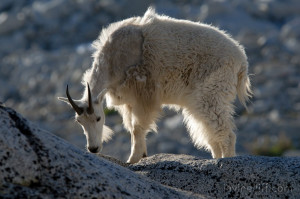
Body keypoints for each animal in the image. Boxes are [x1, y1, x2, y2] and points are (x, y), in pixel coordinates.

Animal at [58, 7, 251, 163]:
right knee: (211, 134)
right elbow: (132, 128)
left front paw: (132, 160)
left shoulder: (144, 95)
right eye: (79, 121)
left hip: (211, 93)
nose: (93, 149)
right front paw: (141, 155)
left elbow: (137, 128)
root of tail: (241, 61)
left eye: (98, 118)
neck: (114, 59)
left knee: (225, 133)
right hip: (200, 101)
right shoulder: (129, 100)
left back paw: (225, 161)